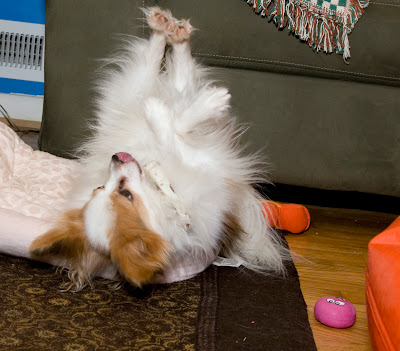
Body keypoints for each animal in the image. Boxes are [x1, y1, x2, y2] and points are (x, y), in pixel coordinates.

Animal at [29, 7, 290, 292]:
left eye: (104, 188)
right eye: (123, 192)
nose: (116, 156)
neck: (166, 189)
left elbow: (175, 125)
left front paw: (166, 111)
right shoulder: (202, 161)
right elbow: (173, 129)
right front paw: (180, 109)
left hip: (134, 91)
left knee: (173, 71)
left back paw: (169, 30)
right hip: (141, 86)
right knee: (173, 72)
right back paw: (170, 38)